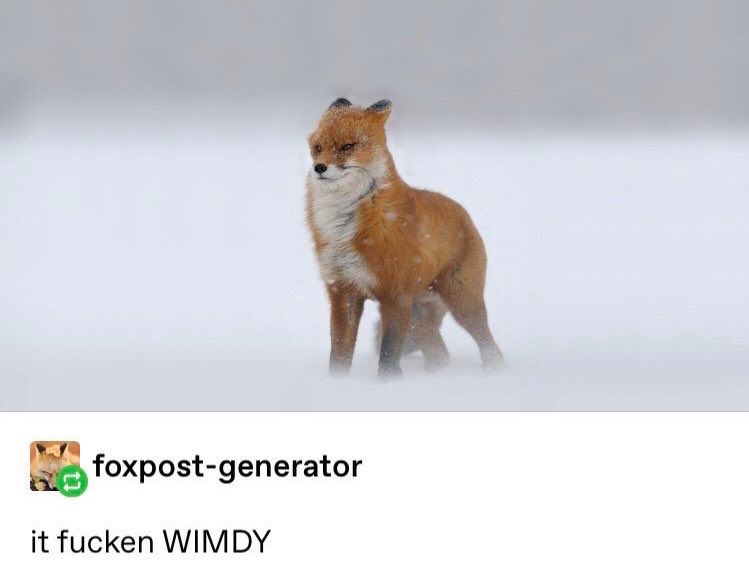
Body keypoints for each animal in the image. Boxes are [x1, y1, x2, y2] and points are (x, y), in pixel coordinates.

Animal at [306, 98, 503, 377]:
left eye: (347, 146)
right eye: (318, 147)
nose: (319, 167)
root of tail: (464, 213)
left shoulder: (396, 295)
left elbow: (388, 353)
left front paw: (388, 384)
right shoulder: (344, 291)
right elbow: (339, 354)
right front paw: (337, 383)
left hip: (462, 303)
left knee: (488, 345)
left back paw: (495, 371)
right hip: (419, 314)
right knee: (439, 353)